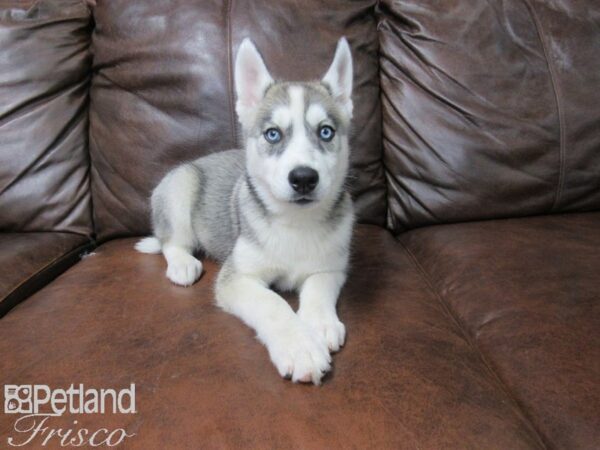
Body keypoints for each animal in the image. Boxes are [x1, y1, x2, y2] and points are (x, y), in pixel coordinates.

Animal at [135, 37, 356, 384]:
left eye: (326, 132)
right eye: (273, 134)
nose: (304, 178)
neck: (296, 223)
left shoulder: (331, 267)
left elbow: (318, 289)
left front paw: (320, 324)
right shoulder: (238, 278)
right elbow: (272, 303)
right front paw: (300, 347)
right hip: (181, 185)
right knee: (172, 242)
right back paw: (183, 263)